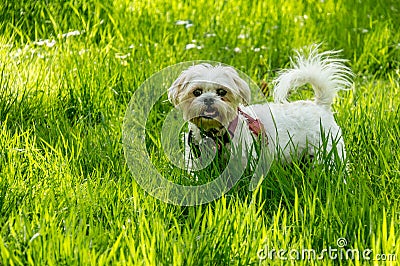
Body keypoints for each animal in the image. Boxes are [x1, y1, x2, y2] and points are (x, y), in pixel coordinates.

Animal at [168, 46, 354, 169]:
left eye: (222, 92)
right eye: (196, 92)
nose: (208, 100)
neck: (215, 133)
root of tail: (320, 105)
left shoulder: (244, 157)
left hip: (328, 148)